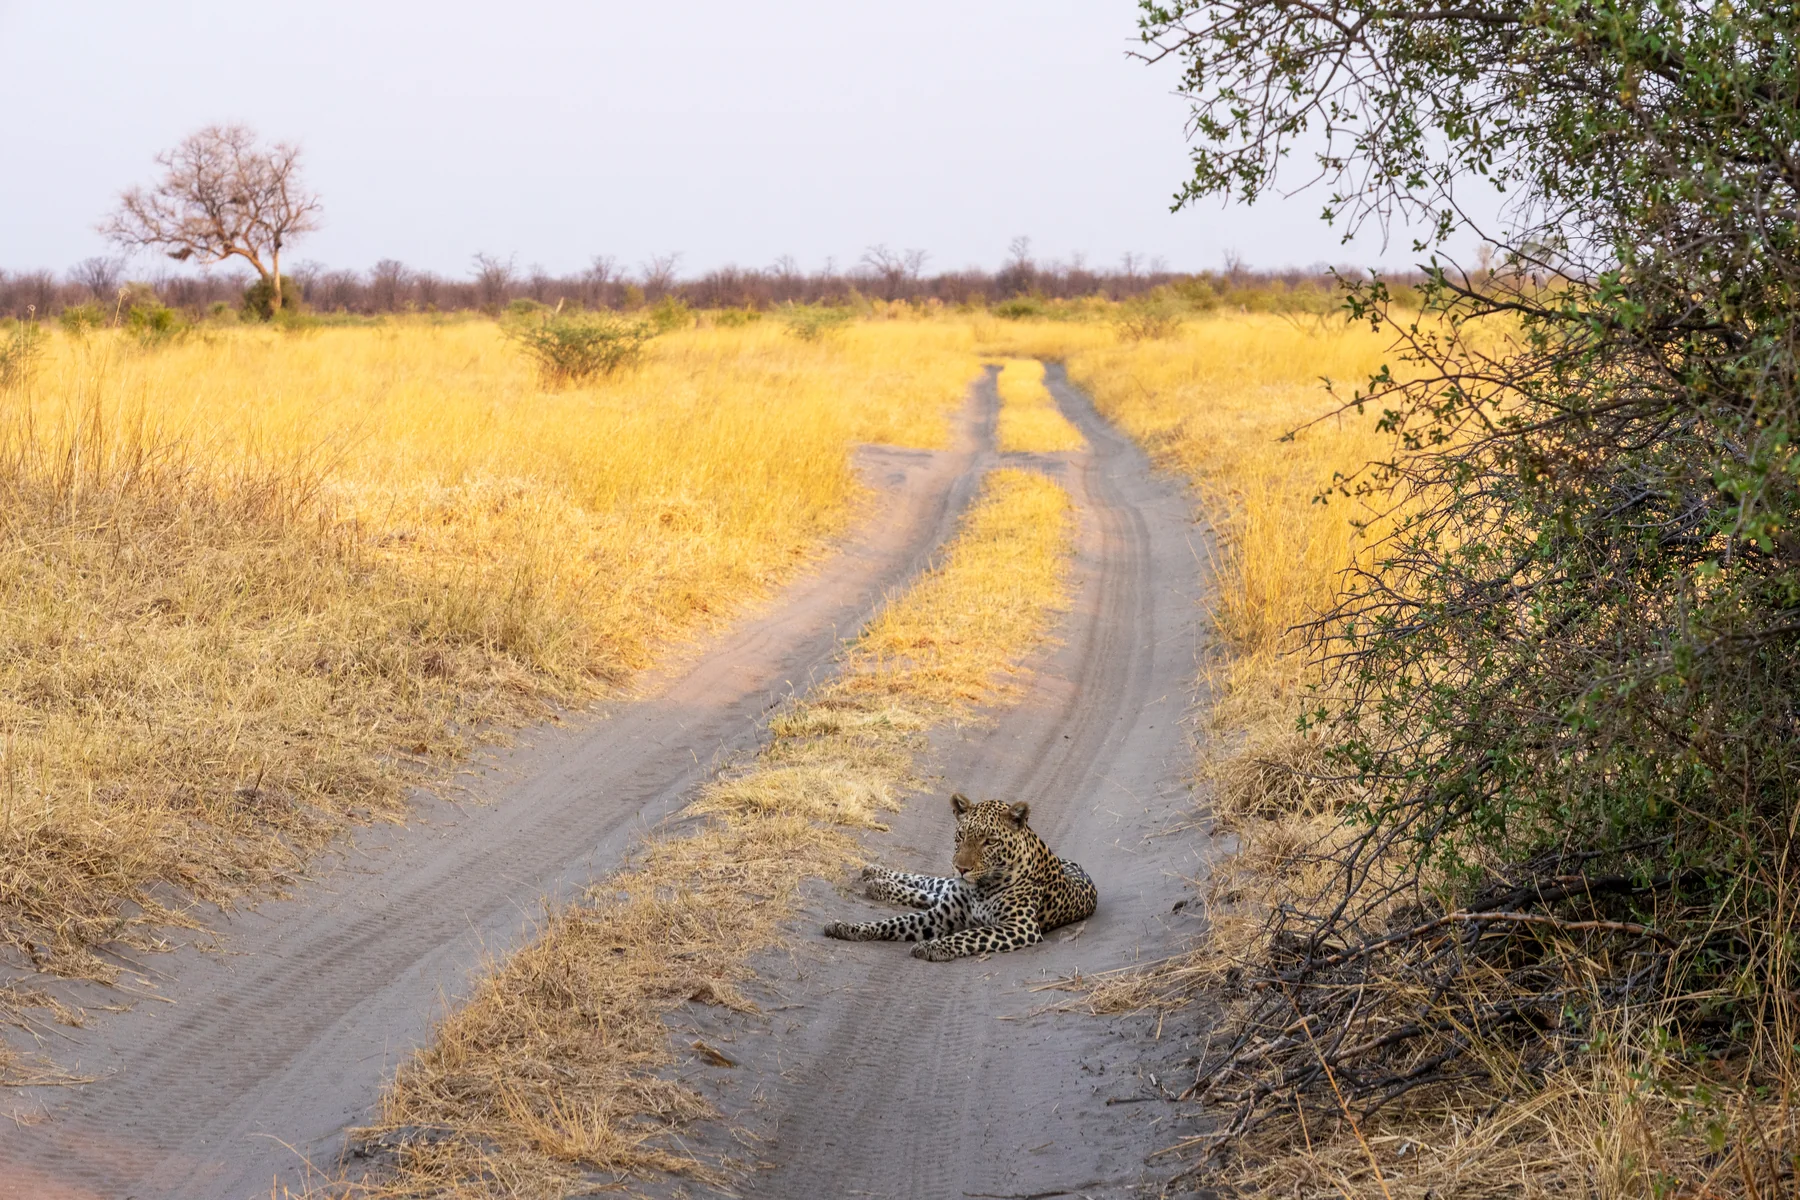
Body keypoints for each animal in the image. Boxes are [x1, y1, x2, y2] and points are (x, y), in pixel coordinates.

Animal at [822, 792, 1098, 961]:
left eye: (990, 842)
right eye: (961, 835)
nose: (961, 868)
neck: (980, 888)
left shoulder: (1020, 926)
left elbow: (969, 935)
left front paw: (931, 947)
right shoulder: (942, 914)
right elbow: (893, 922)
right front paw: (847, 927)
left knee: (930, 893)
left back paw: (876, 884)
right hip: (947, 889)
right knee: (930, 884)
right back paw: (876, 876)